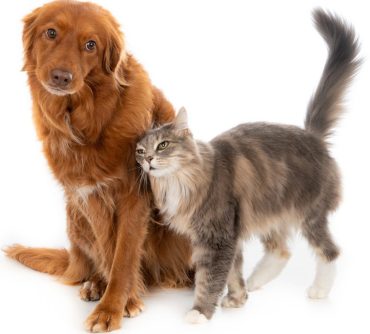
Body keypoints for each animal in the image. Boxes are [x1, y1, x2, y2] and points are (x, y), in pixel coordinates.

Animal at [5, 1, 191, 332]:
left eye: (91, 45)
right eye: (50, 33)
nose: (61, 77)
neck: (88, 122)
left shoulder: (134, 196)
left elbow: (124, 254)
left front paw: (114, 306)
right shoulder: (88, 194)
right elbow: (109, 251)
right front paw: (120, 298)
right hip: (75, 218)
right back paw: (95, 283)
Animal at [135, 9, 358, 324]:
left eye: (164, 145)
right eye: (140, 151)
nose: (148, 160)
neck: (178, 182)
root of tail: (311, 136)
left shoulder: (217, 237)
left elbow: (209, 279)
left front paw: (199, 312)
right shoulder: (231, 234)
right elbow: (233, 272)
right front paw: (238, 298)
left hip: (309, 214)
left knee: (329, 252)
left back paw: (319, 289)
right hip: (270, 211)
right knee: (281, 251)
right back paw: (255, 282)